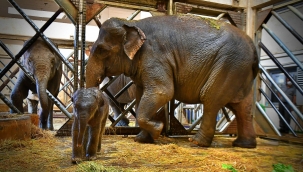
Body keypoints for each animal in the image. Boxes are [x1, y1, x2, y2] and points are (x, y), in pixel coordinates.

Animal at [85, 14, 258, 148]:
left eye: (102, 50)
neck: (133, 24)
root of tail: (253, 48)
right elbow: (141, 97)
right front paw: (141, 139)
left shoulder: (154, 56)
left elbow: (163, 92)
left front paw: (157, 129)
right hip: (239, 71)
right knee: (243, 106)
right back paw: (243, 144)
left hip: (229, 64)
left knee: (210, 98)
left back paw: (197, 142)